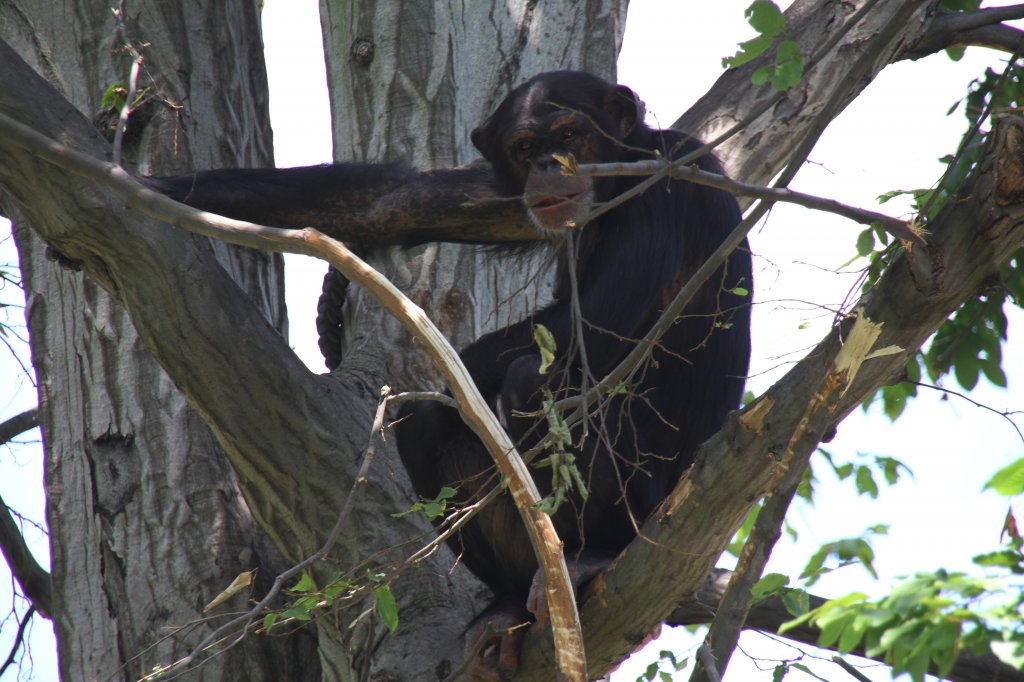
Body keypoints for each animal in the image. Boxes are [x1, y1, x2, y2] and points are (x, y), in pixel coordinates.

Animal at [146, 71, 753, 675]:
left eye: (570, 133)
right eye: (525, 147)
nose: (550, 165)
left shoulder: (661, 184)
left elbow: (594, 325)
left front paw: (447, 368)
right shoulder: (509, 198)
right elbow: (400, 200)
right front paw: (150, 189)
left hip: (646, 509)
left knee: (530, 381)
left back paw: (591, 556)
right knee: (428, 427)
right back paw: (507, 609)